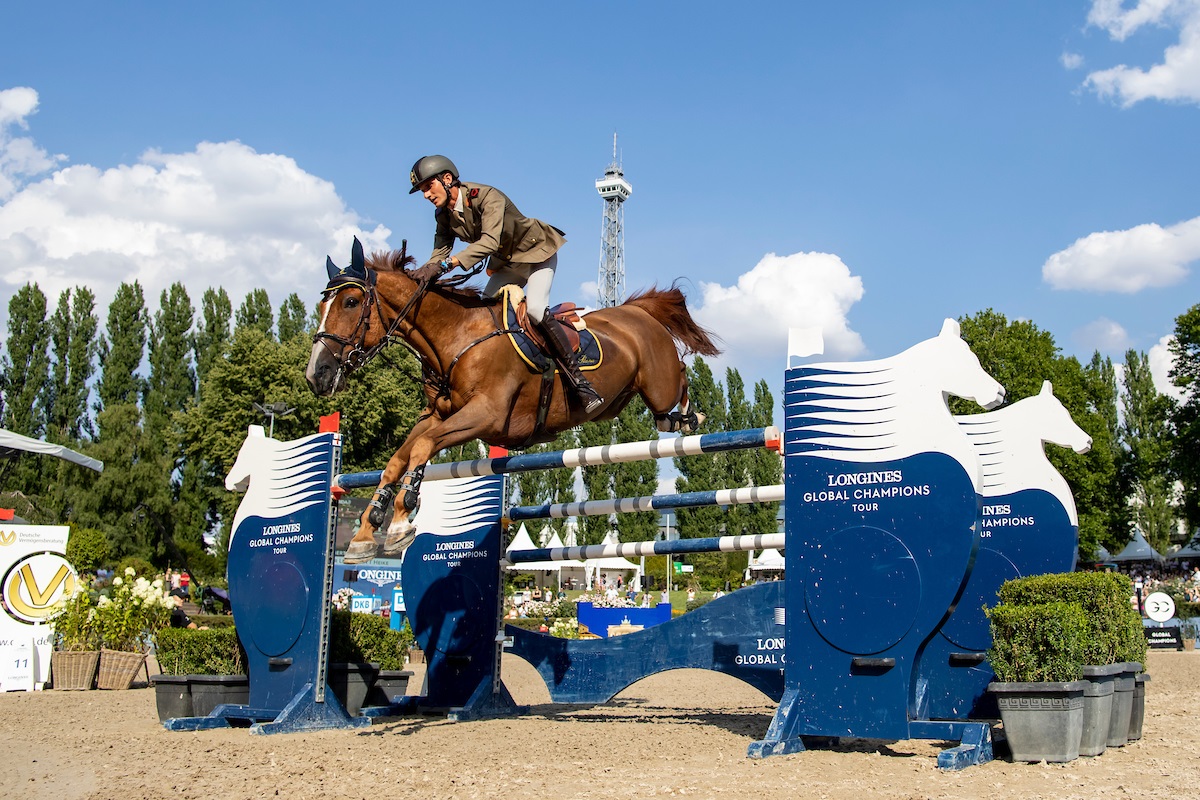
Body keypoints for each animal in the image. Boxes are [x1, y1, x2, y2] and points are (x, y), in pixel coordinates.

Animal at [307, 237, 720, 563]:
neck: (455, 337)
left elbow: (422, 448)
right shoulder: (437, 415)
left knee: (680, 376)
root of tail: (636, 309)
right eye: (323, 304)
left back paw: (690, 417)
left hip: (659, 383)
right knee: (657, 406)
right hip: (619, 399)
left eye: (351, 301)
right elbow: (398, 459)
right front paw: (365, 533)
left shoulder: (486, 416)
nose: (317, 375)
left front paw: (398, 521)